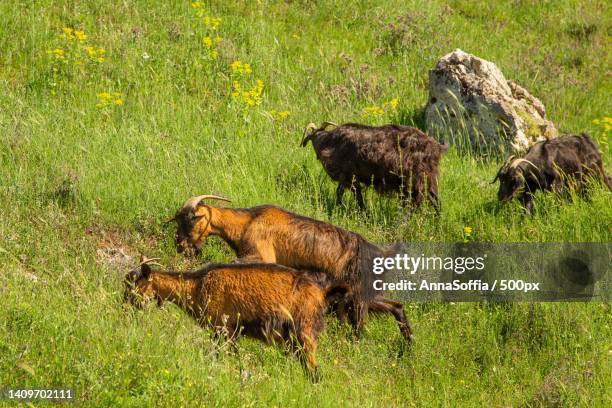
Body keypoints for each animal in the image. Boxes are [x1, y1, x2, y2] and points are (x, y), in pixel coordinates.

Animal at [123, 258, 350, 380]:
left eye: (135, 284)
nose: (125, 306)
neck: (198, 285)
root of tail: (321, 292)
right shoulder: (228, 333)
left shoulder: (224, 328)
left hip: (305, 331)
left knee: (314, 369)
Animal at [169, 194, 412, 342]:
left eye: (190, 220)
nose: (180, 246)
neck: (247, 222)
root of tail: (380, 255)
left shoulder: (262, 255)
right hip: (365, 295)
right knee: (396, 306)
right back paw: (408, 345)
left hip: (358, 298)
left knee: (360, 328)